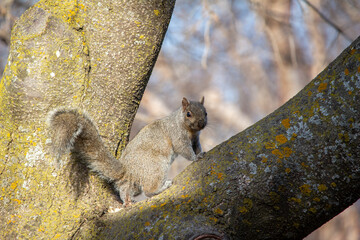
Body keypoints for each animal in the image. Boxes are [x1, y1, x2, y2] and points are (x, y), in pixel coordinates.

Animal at [47, 96, 208, 205]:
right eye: (188, 113)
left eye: (205, 113)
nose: (201, 124)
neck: (190, 130)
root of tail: (128, 170)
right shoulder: (177, 135)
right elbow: (184, 149)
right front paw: (195, 158)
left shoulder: (195, 139)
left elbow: (197, 147)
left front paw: (201, 153)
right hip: (155, 166)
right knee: (148, 190)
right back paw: (160, 188)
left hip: (134, 184)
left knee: (126, 189)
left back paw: (127, 202)